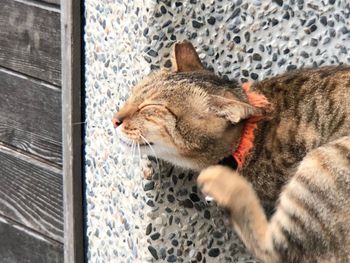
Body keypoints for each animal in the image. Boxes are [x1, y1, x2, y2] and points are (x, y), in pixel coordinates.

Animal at [113, 41, 350, 263]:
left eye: (150, 108)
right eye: (133, 95)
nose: (115, 119)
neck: (250, 135)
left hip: (323, 162)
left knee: (274, 251)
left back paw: (222, 181)